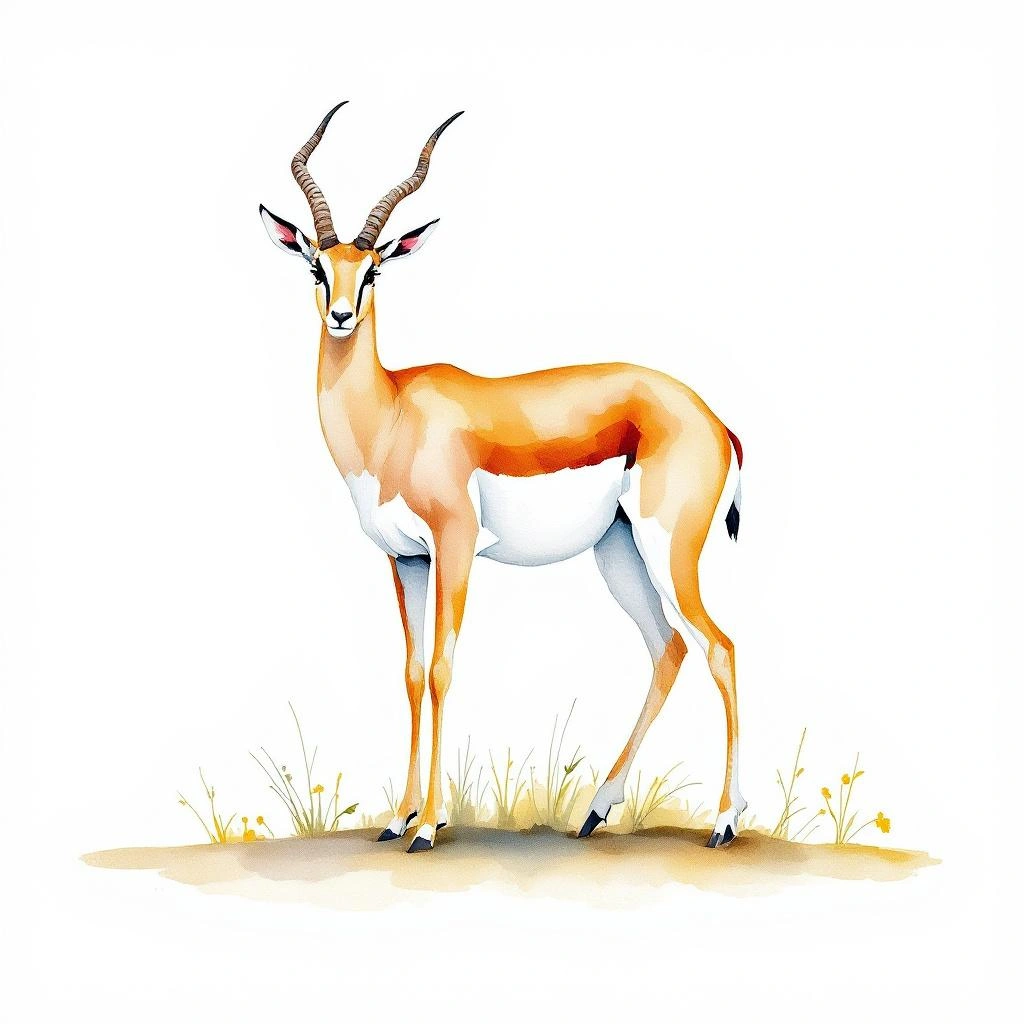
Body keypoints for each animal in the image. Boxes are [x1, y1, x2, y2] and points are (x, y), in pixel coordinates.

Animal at [260, 102, 747, 853]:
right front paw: (397, 818)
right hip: (619, 550)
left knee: (719, 647)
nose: (341, 315)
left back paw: (724, 822)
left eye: (373, 271)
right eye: (318, 267)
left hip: (670, 550)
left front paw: (429, 825)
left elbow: (441, 668)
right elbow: (410, 673)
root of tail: (716, 420)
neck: (394, 413)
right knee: (667, 648)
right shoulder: (405, 558)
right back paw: (595, 812)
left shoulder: (456, 543)